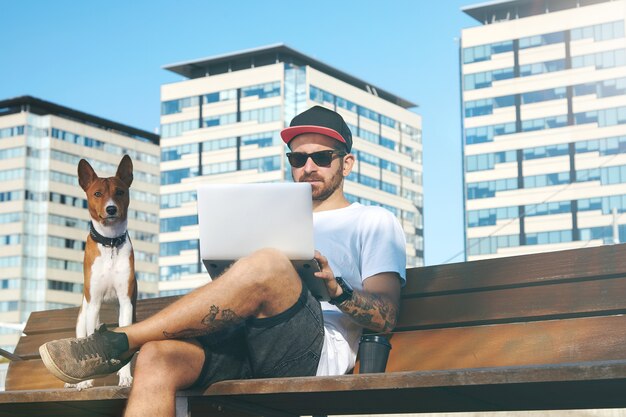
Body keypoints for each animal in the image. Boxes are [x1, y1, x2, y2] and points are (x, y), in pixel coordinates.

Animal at [73, 154, 136, 388]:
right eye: (97, 193)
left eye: (120, 192)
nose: (111, 209)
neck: (109, 242)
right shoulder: (94, 303)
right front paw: (87, 380)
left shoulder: (126, 302)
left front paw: (125, 377)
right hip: (83, 316)